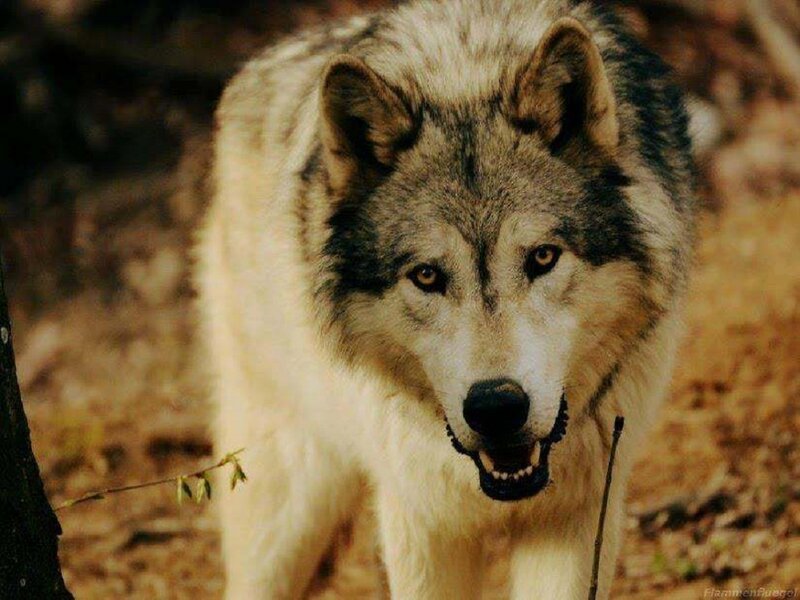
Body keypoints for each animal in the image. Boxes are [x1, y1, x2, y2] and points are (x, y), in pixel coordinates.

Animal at [195, 0, 695, 597]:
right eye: (428, 275)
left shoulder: (573, 517)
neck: (465, 77)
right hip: (288, 508)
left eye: (543, 258)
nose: (496, 407)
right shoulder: (422, 524)